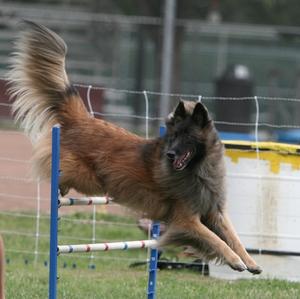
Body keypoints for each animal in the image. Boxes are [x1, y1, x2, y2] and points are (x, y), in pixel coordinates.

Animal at [6, 20, 260, 274]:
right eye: (174, 136)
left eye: (187, 137)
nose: (170, 154)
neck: (197, 169)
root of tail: (83, 119)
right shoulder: (186, 220)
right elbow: (215, 240)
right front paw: (235, 261)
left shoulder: (214, 212)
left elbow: (234, 237)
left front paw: (251, 262)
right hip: (88, 178)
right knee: (57, 173)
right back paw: (60, 186)